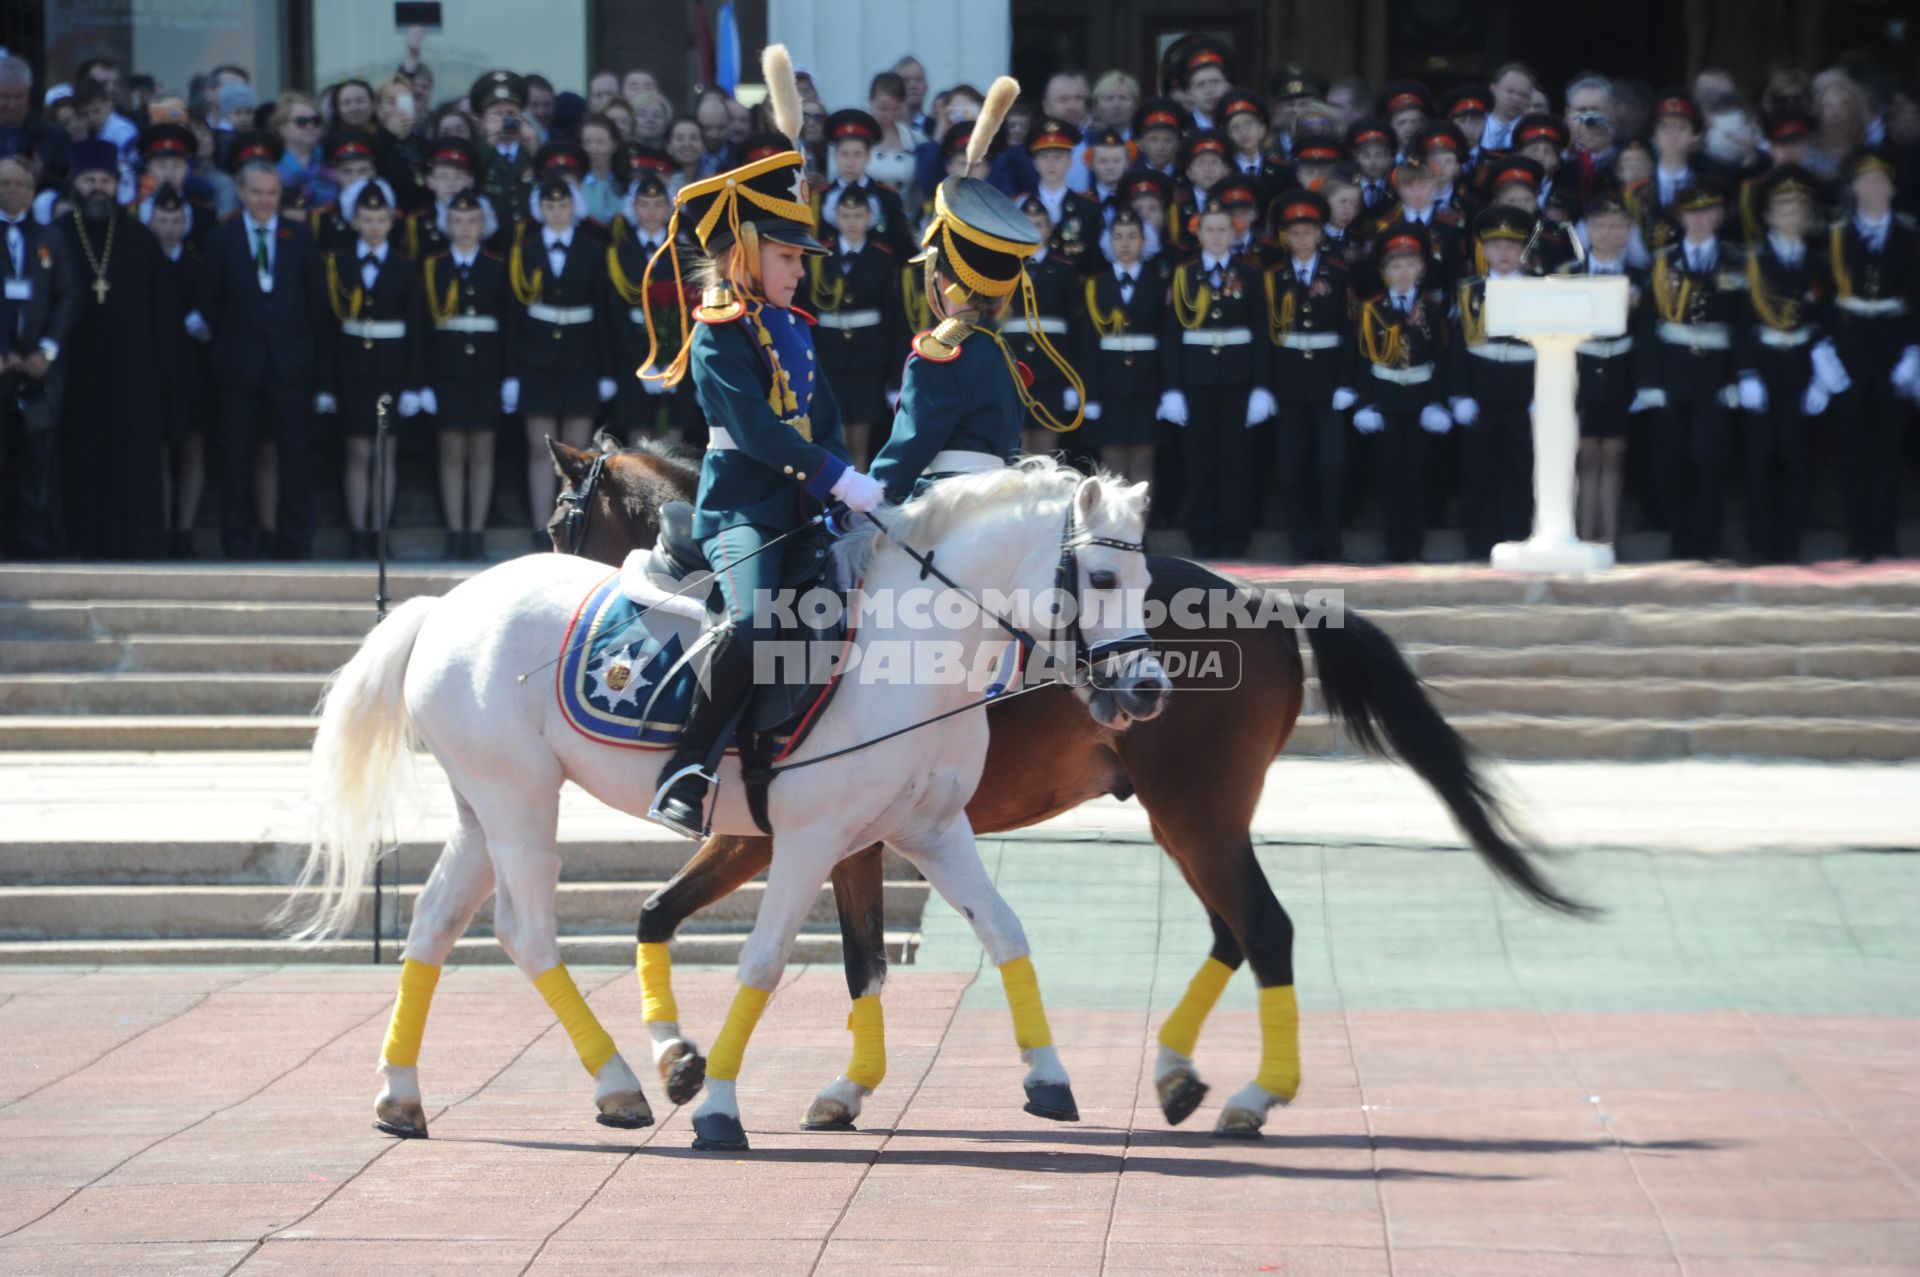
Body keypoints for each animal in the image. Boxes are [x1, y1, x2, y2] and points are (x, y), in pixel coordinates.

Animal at [293, 462, 1167, 1152]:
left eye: (1150, 584)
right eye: (1102, 579)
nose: (1149, 689)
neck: (908, 655)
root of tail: (441, 606)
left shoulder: (929, 830)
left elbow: (1002, 931)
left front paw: (1047, 1075)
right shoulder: (812, 839)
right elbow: (765, 960)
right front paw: (717, 1106)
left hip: (484, 805)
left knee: (435, 922)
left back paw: (403, 1092)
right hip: (519, 801)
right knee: (526, 930)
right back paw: (618, 1081)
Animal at [545, 435, 1589, 1136]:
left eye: (560, 519)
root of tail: (1267, 595)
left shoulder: (770, 834)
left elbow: (675, 915)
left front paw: (692, 1063)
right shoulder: (851, 834)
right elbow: (848, 953)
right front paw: (818, 1082)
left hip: (1195, 811)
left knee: (1264, 928)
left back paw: (1252, 1093)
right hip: (1189, 817)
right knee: (1232, 931)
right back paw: (1178, 1071)